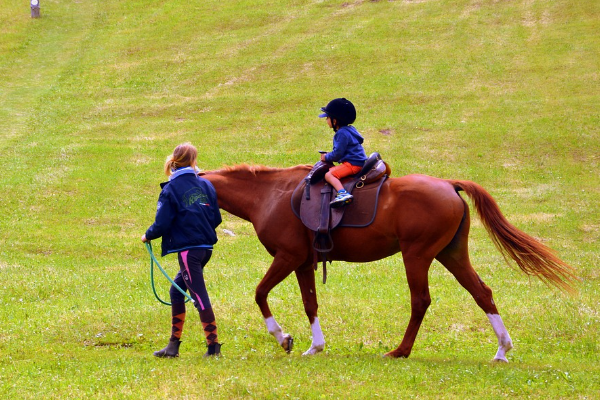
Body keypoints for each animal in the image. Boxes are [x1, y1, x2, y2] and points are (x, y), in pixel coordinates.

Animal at [202, 164, 576, 360]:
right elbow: (310, 304)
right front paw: (315, 345)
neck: (270, 195)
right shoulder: (304, 263)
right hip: (451, 254)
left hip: (418, 255)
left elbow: (260, 293)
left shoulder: (288, 257)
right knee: (482, 292)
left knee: (420, 300)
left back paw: (401, 350)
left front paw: (282, 337)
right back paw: (502, 348)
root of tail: (448, 185)